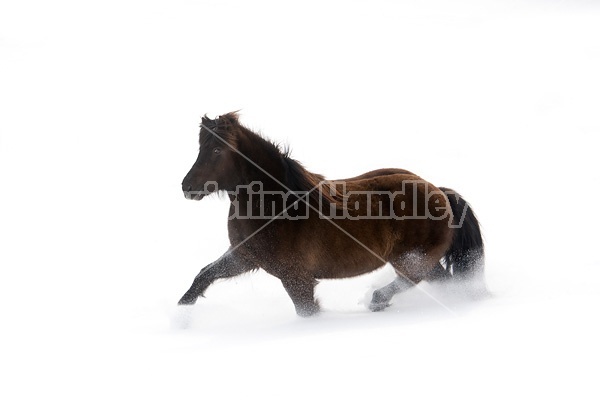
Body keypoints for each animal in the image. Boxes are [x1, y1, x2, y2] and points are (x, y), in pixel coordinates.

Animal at [177, 111, 482, 316]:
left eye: (217, 150)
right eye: (201, 147)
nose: (186, 187)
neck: (278, 205)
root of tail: (438, 190)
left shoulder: (296, 278)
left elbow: (307, 312)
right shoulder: (244, 257)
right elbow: (204, 275)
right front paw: (180, 315)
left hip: (411, 258)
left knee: (417, 281)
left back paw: (376, 300)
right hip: (422, 260)